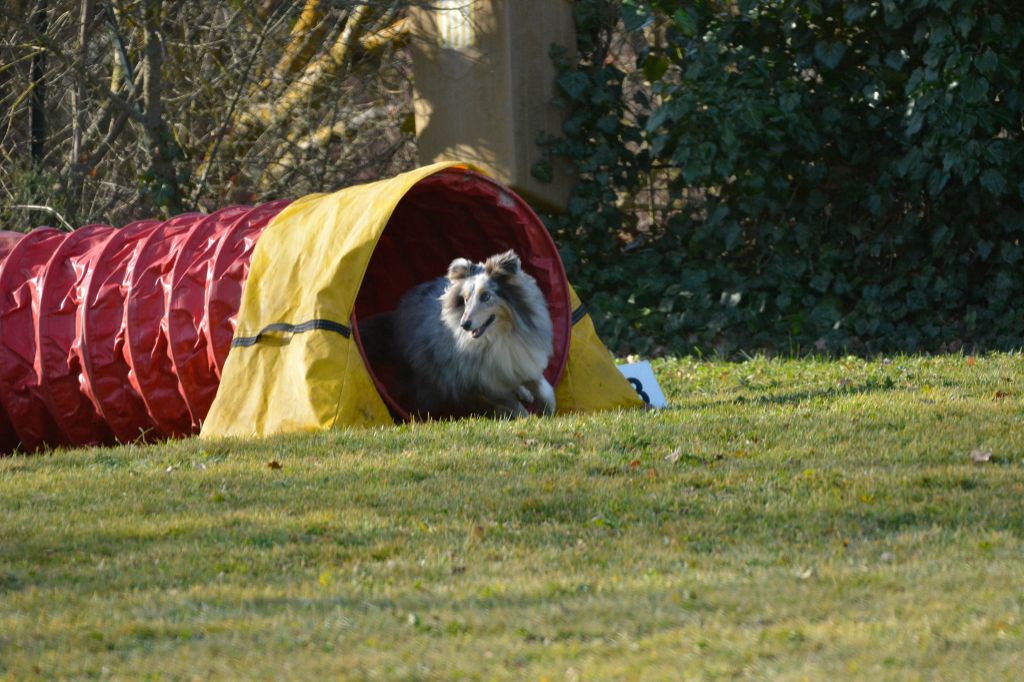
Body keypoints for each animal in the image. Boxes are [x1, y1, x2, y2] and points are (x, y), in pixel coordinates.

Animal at [387, 249, 557, 417]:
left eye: (486, 296)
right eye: (466, 299)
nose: (464, 324)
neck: (498, 337)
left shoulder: (523, 358)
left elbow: (542, 387)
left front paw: (548, 410)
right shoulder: (485, 383)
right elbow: (512, 404)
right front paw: (526, 418)